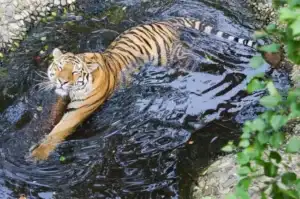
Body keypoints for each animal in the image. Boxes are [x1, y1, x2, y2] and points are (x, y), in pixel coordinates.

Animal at [29, 16, 282, 160]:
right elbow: (52, 117)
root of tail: (167, 21)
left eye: (74, 72)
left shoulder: (79, 111)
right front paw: (38, 129)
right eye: (58, 68)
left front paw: (37, 155)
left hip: (174, 57)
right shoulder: (61, 99)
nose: (62, 81)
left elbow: (59, 131)